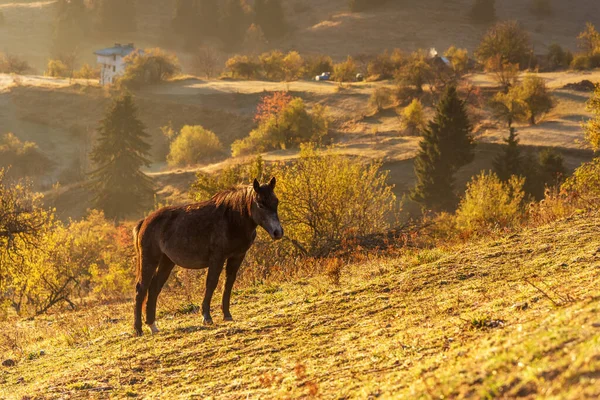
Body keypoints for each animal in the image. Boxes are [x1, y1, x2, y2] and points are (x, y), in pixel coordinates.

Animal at [132, 177, 282, 336]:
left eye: (276, 201)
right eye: (260, 204)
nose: (277, 232)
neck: (232, 218)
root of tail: (145, 221)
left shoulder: (237, 257)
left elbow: (228, 283)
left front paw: (227, 315)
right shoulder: (217, 258)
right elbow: (211, 283)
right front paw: (207, 317)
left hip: (166, 262)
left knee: (154, 288)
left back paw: (152, 325)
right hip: (149, 260)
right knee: (141, 289)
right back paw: (138, 329)